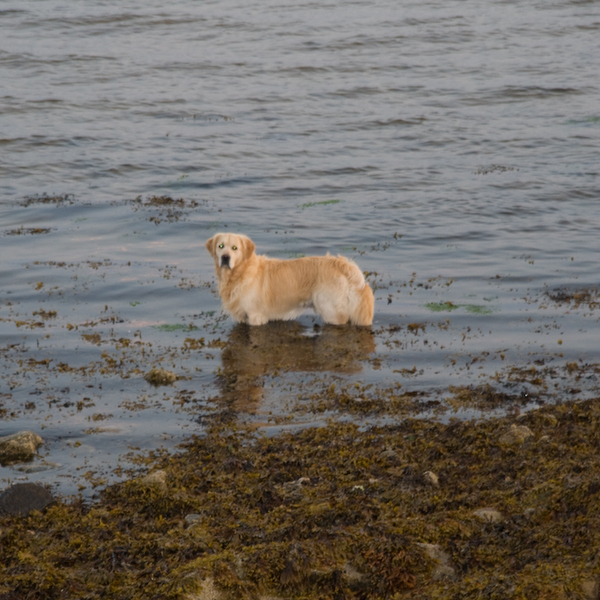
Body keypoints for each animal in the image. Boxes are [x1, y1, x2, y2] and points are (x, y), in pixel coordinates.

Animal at [206, 234, 376, 328]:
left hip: (330, 310)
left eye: (235, 248)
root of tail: (340, 262)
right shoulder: (242, 317)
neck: (239, 273)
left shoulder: (256, 316)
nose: (225, 258)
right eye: (221, 246)